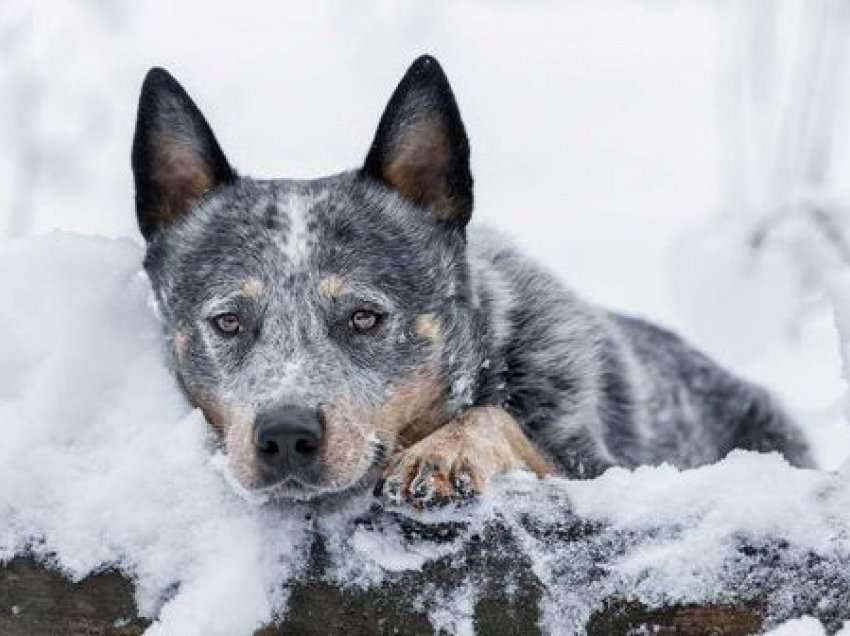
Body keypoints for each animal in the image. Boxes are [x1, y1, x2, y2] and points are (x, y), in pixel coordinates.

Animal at [129, 56, 812, 502]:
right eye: (228, 321)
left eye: (364, 317)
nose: (287, 435)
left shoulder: (603, 467)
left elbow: (497, 419)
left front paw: (443, 450)